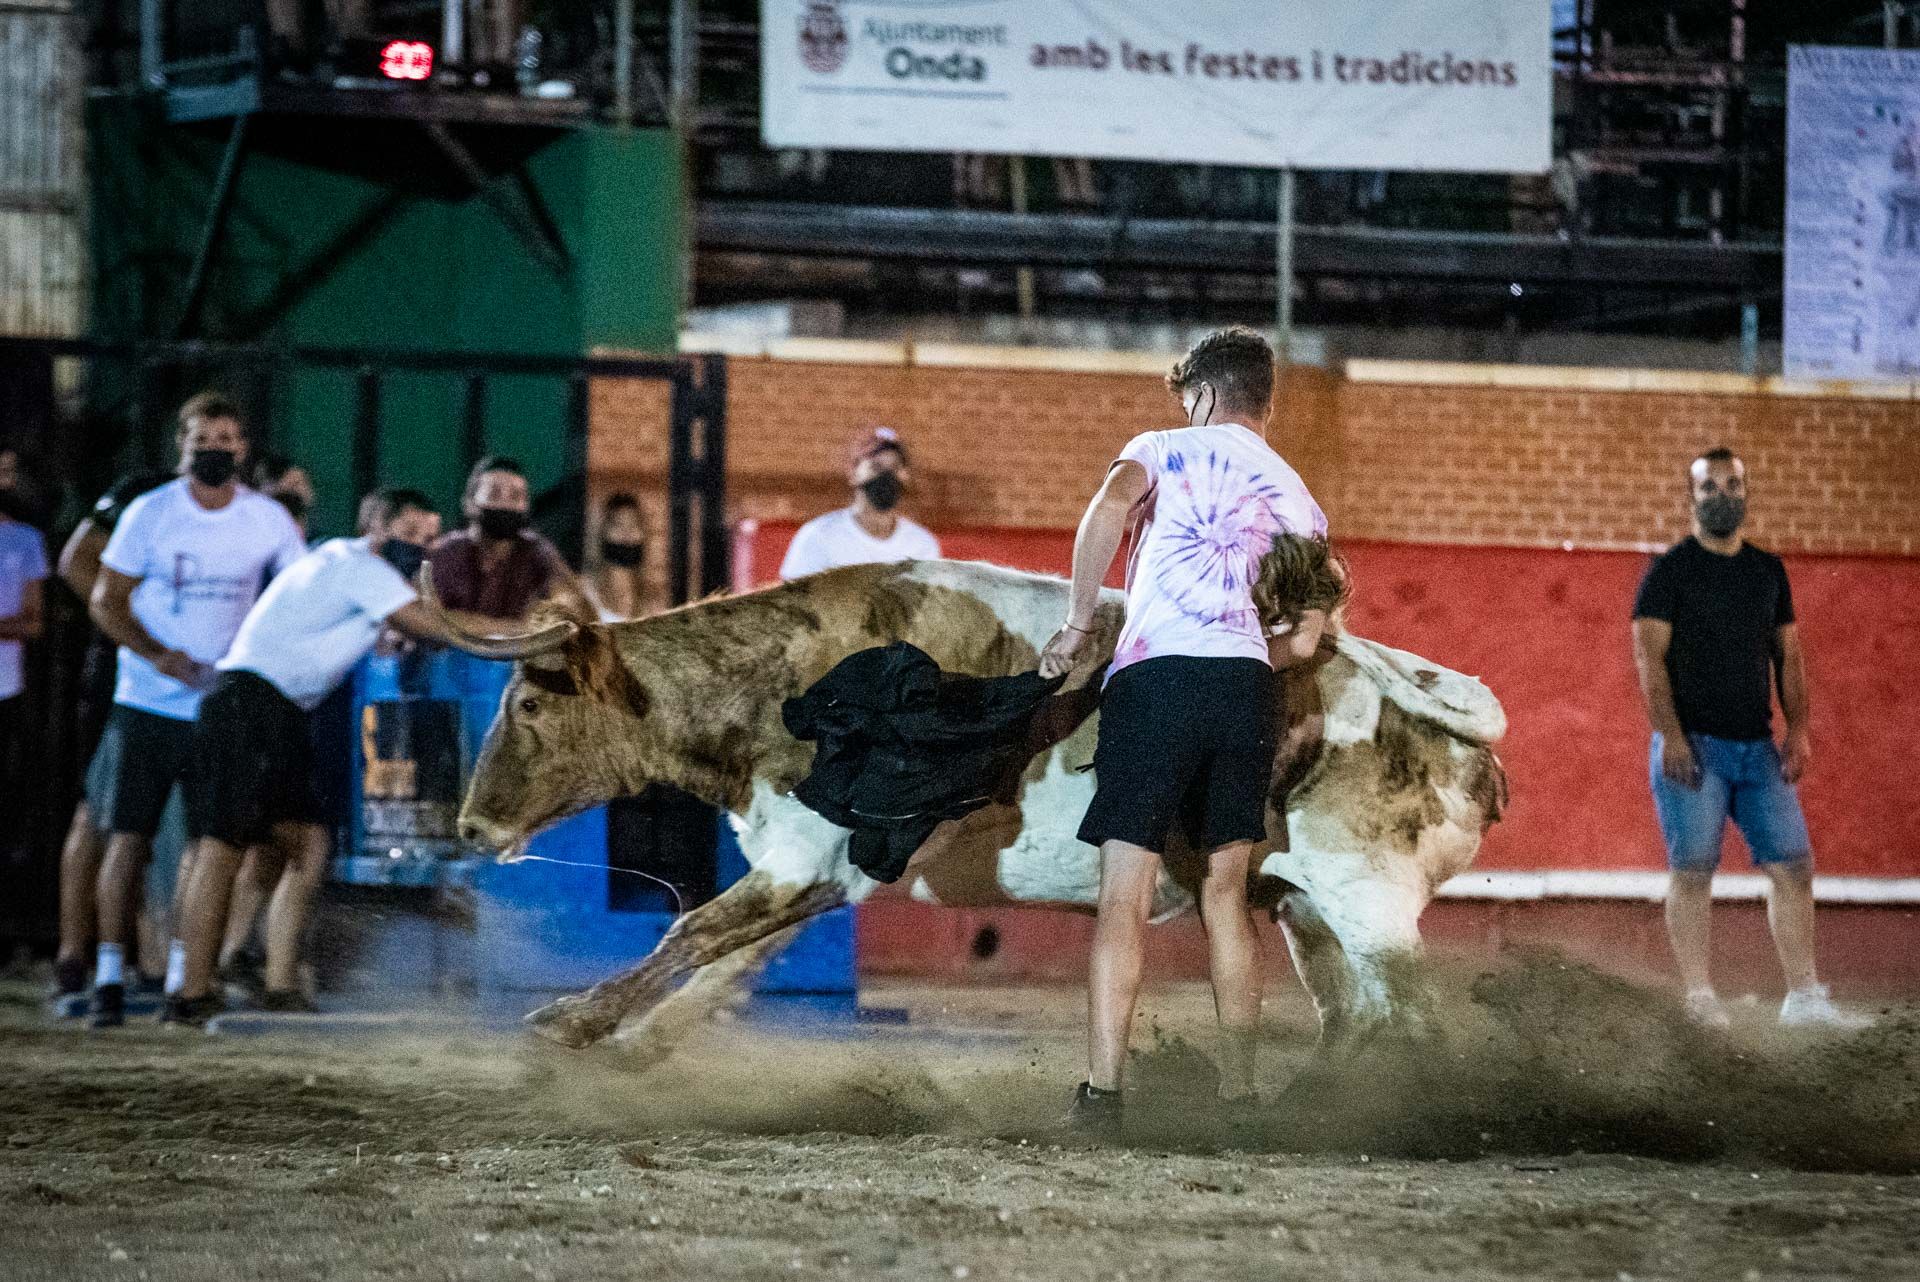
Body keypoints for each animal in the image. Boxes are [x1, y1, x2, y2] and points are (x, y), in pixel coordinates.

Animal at [428, 560, 1505, 1059]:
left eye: (528, 706)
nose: (473, 829)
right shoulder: (815, 867)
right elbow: (722, 960)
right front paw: (636, 1046)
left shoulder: (807, 856)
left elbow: (691, 932)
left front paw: (572, 1020)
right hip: (1307, 906)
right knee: (1354, 1016)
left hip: (1369, 900)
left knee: (1416, 1019)